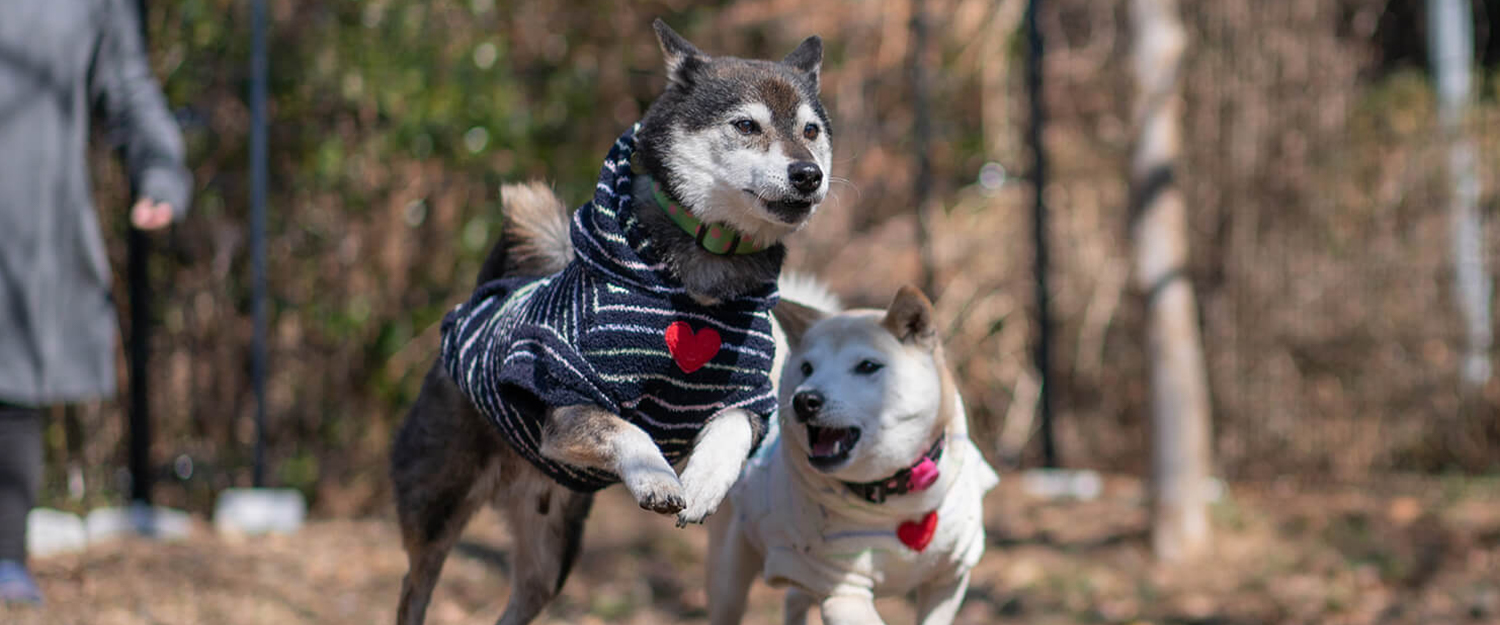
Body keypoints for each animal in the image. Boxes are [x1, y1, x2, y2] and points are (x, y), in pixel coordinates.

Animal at [702, 286, 996, 623]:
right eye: (806, 368)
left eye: (867, 366)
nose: (804, 400)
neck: (897, 498)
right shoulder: (841, 589)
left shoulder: (949, 578)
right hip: (732, 577)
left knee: (794, 597)